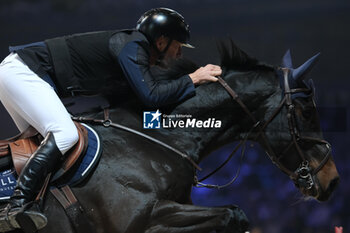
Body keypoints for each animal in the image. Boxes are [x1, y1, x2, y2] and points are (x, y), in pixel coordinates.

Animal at [8, 39, 338, 232]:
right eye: (306, 112)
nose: (332, 180)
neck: (162, 137)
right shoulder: (139, 219)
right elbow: (233, 214)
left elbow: (233, 215)